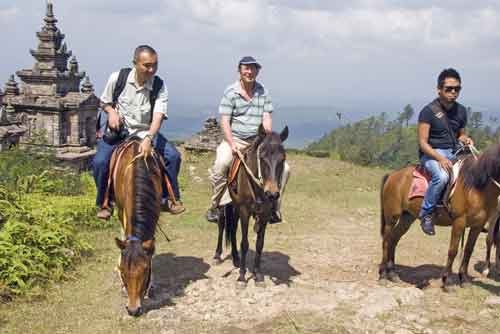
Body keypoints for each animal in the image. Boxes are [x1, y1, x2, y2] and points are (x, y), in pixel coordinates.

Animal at [214, 124, 290, 286]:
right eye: (262, 157)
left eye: (282, 158)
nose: (272, 194)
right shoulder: (244, 211)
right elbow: (245, 243)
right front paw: (242, 277)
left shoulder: (264, 213)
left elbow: (259, 244)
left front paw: (258, 274)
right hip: (226, 204)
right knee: (222, 224)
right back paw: (217, 256)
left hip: (235, 207)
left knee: (232, 228)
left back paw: (236, 259)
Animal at [378, 144, 500, 288]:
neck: (476, 186)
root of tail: (393, 175)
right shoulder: (459, 221)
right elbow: (453, 250)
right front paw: (447, 281)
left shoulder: (478, 225)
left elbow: (468, 251)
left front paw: (464, 279)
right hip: (391, 217)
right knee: (386, 241)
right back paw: (382, 275)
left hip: (407, 218)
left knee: (393, 239)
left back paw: (392, 274)